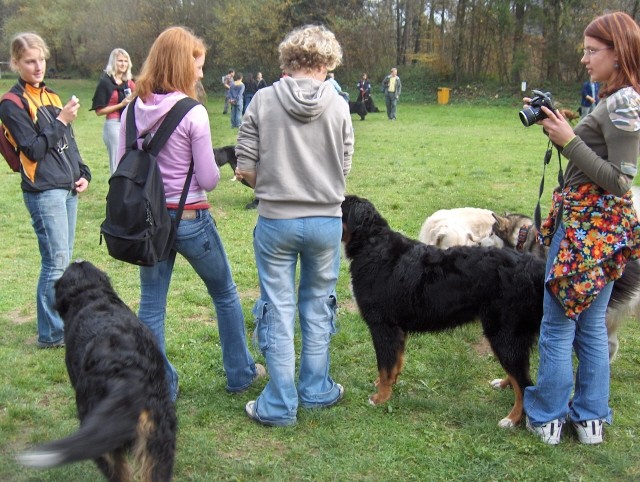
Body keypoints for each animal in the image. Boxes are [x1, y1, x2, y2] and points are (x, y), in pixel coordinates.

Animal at [342, 194, 548, 428]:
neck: (372, 245)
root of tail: (536, 266)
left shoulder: (383, 325)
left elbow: (384, 365)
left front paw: (380, 397)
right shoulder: (397, 329)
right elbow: (394, 363)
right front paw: (388, 384)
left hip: (503, 332)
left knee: (523, 383)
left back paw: (512, 419)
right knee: (519, 374)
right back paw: (503, 384)